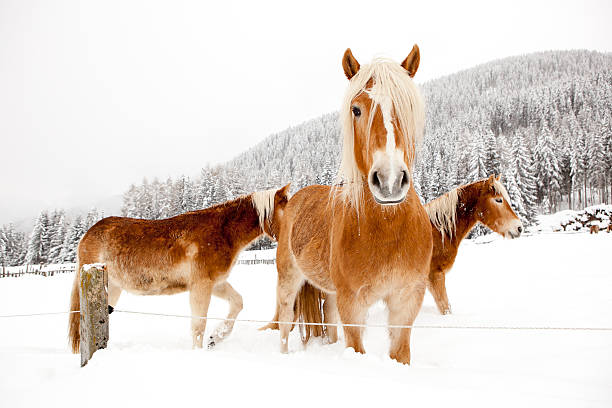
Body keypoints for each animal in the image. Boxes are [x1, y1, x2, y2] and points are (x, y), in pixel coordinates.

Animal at [68, 183, 290, 352]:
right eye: (288, 209)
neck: (222, 232)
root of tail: (87, 236)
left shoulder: (216, 283)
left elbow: (237, 302)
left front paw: (215, 338)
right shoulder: (201, 286)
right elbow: (198, 326)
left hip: (113, 288)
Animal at [270, 45, 432, 364]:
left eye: (408, 105)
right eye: (356, 110)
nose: (390, 180)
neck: (388, 230)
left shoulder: (406, 301)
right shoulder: (353, 305)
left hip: (330, 294)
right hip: (289, 280)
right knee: (284, 323)